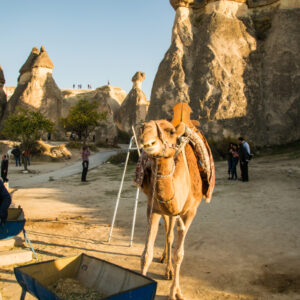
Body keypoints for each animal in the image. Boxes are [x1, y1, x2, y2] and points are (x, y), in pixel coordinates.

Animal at [139, 114, 214, 298]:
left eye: (170, 131)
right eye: (143, 127)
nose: (147, 142)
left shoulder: (190, 212)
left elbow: (179, 254)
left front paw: (174, 293)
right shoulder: (153, 208)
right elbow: (146, 254)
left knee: (171, 235)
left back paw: (169, 270)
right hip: (166, 211)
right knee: (168, 232)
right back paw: (165, 260)